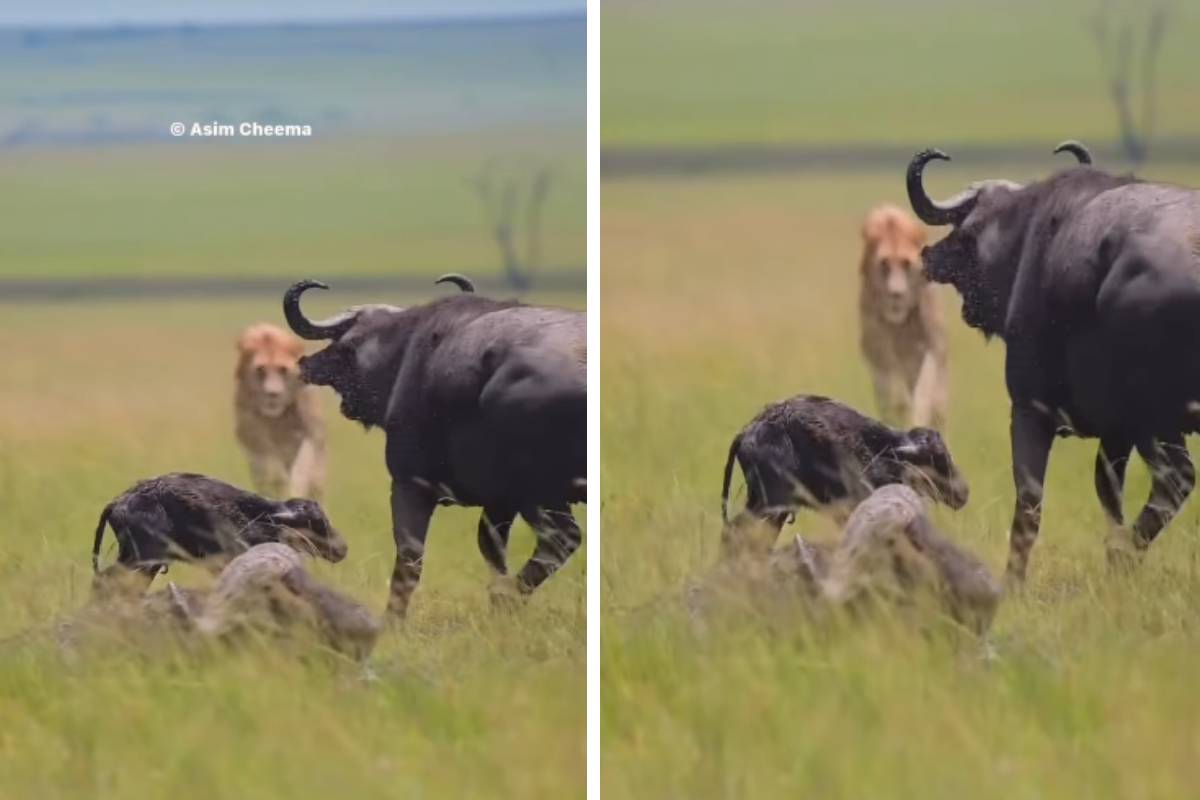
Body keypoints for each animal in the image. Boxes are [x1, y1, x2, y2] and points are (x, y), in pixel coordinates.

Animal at [234, 323, 326, 501]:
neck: (277, 416)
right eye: (261, 369)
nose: (273, 394)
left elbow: (302, 467)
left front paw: (296, 490)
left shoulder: (310, 432)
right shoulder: (250, 431)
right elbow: (271, 465)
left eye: (283, 369)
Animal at [283, 276, 585, 618]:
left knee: (561, 539)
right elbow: (491, 549)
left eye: (347, 348)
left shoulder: (410, 486)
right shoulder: (498, 502)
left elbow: (409, 560)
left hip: (537, 494)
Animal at [858, 204, 948, 430]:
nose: (896, 294)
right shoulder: (875, 345)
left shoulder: (932, 344)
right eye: (884, 264)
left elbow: (925, 391)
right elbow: (894, 393)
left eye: (906, 264)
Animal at [906, 141, 1200, 581]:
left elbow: (1029, 503)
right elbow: (1107, 491)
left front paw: (1013, 581)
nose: (931, 259)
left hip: (1155, 421)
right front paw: (1113, 556)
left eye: (968, 234)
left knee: (1175, 480)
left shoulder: (1030, 412)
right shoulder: (1115, 433)